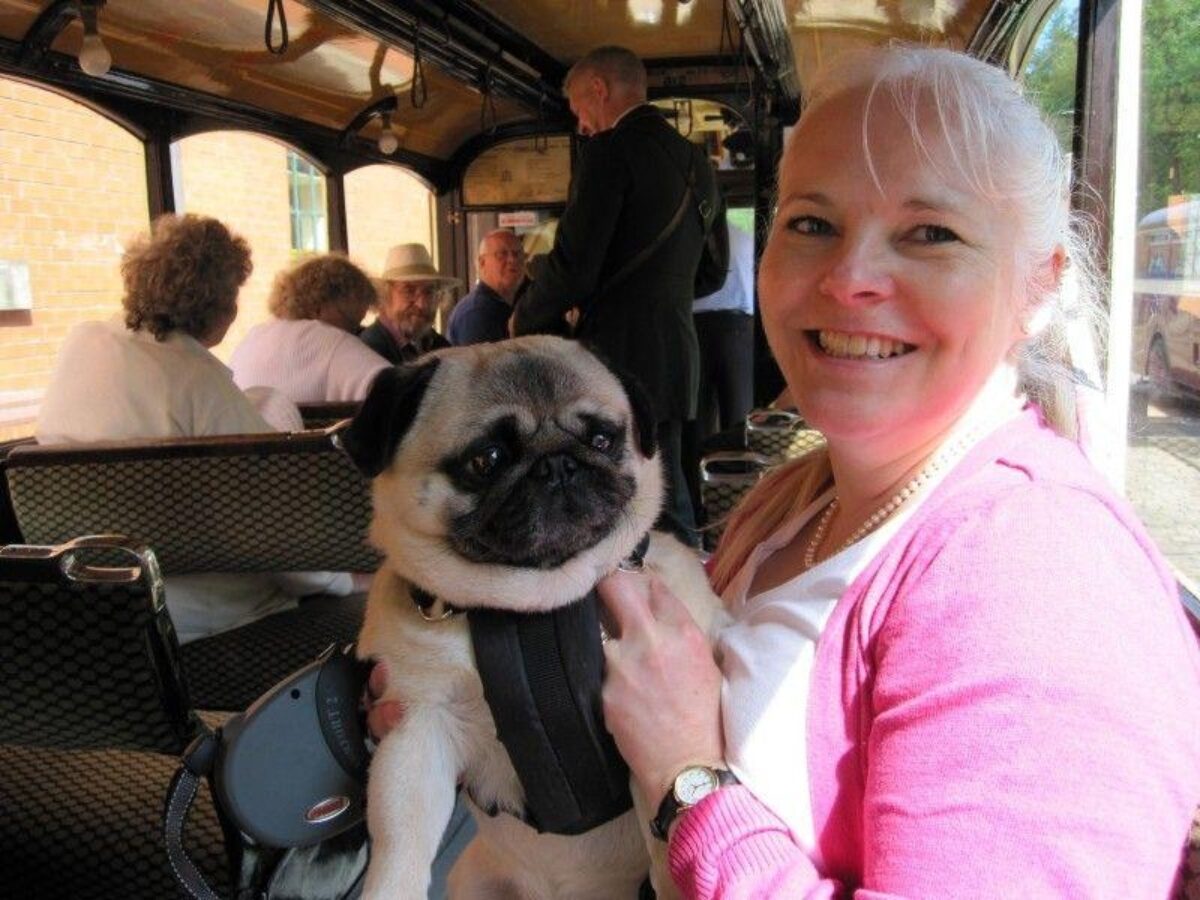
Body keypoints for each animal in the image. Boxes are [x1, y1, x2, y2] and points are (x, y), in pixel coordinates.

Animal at [338, 336, 724, 900]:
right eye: (487, 459)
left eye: (603, 439)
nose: (559, 464)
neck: (531, 612)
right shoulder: (420, 730)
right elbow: (399, 839)